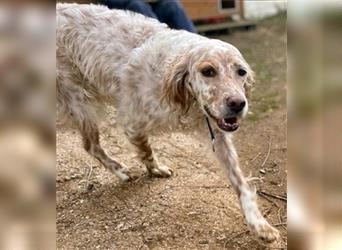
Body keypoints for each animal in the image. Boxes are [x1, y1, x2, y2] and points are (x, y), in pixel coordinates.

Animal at [56, 3, 280, 246]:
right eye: (208, 71)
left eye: (241, 72)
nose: (238, 103)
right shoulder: (132, 120)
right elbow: (145, 150)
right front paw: (155, 169)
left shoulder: (219, 136)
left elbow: (241, 184)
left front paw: (259, 224)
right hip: (80, 101)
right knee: (91, 145)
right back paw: (121, 171)